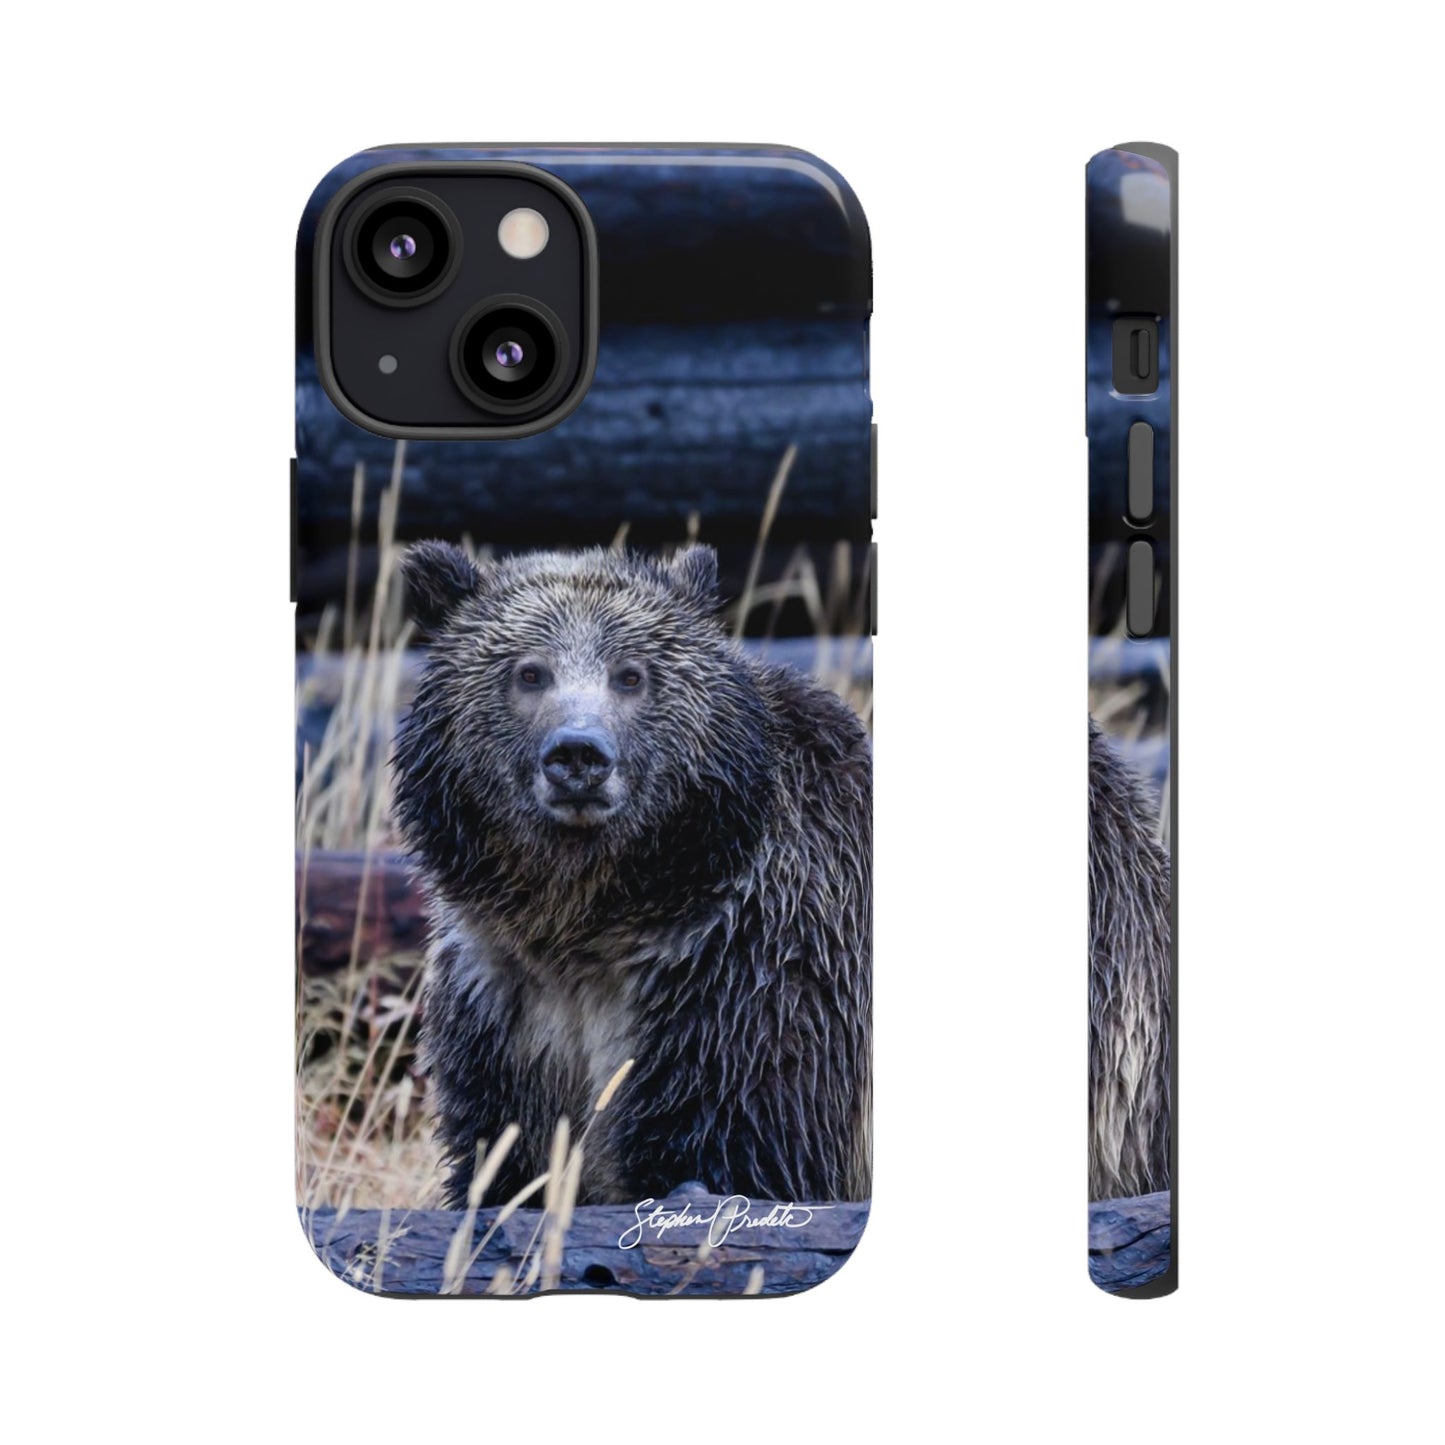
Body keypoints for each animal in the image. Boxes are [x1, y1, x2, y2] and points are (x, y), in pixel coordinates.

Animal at [392, 542, 872, 1210]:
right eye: (529, 672)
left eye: (631, 674)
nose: (578, 755)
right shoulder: (502, 1002)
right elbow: (500, 1156)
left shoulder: (750, 979)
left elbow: (743, 1144)